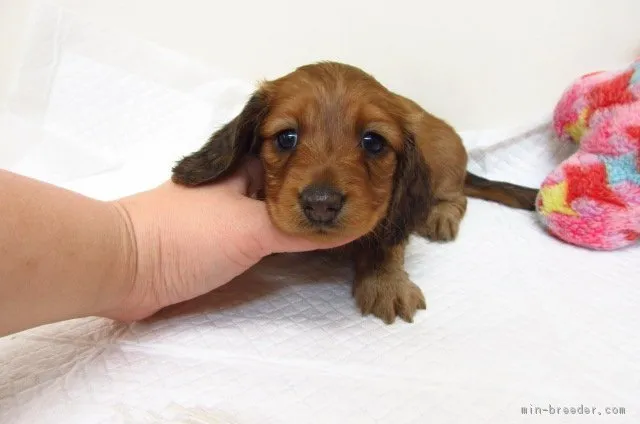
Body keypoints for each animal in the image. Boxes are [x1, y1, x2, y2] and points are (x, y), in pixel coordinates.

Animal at [170, 61, 536, 322]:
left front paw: (386, 283)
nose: (321, 205)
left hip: (445, 162)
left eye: (373, 142)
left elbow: (387, 242)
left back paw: (440, 216)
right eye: (286, 137)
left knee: (456, 194)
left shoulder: (392, 211)